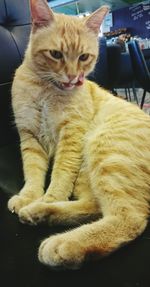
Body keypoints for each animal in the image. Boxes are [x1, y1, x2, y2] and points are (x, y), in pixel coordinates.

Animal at [7, 0, 150, 270]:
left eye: (84, 57)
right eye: (56, 54)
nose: (74, 78)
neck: (45, 89)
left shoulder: (71, 136)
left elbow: (60, 176)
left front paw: (49, 198)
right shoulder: (30, 136)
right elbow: (33, 173)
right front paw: (30, 197)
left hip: (106, 151)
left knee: (130, 217)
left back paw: (63, 242)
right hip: (90, 169)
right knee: (94, 205)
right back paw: (39, 213)